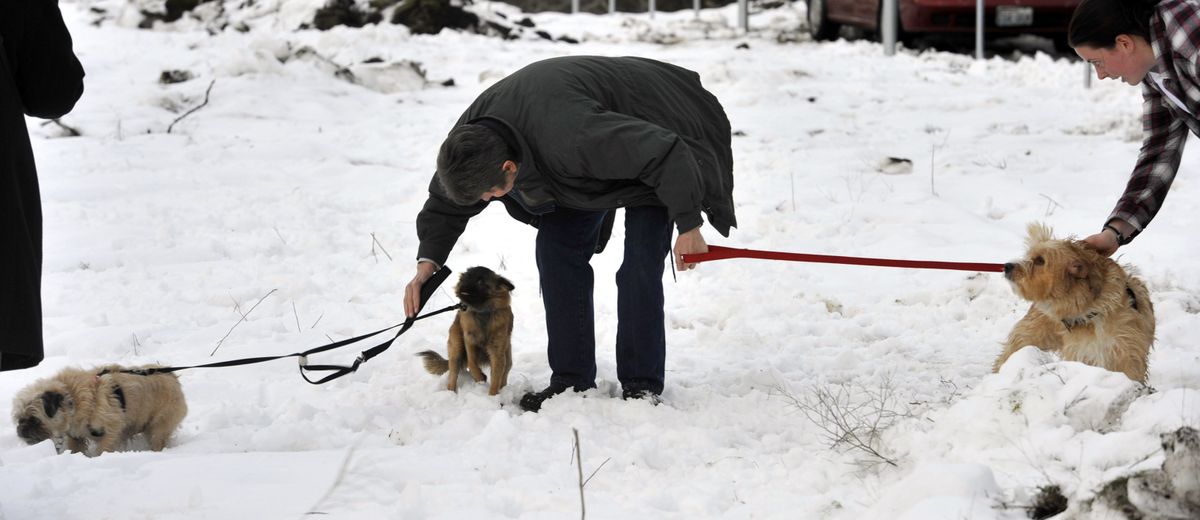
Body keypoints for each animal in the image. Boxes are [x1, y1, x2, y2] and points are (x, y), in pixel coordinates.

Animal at [10, 362, 187, 456]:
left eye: (34, 419)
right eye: (19, 419)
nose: (21, 430)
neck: (72, 398)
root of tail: (172, 376)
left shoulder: (111, 429)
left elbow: (104, 447)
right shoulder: (76, 436)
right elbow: (76, 448)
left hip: (160, 425)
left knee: (158, 438)